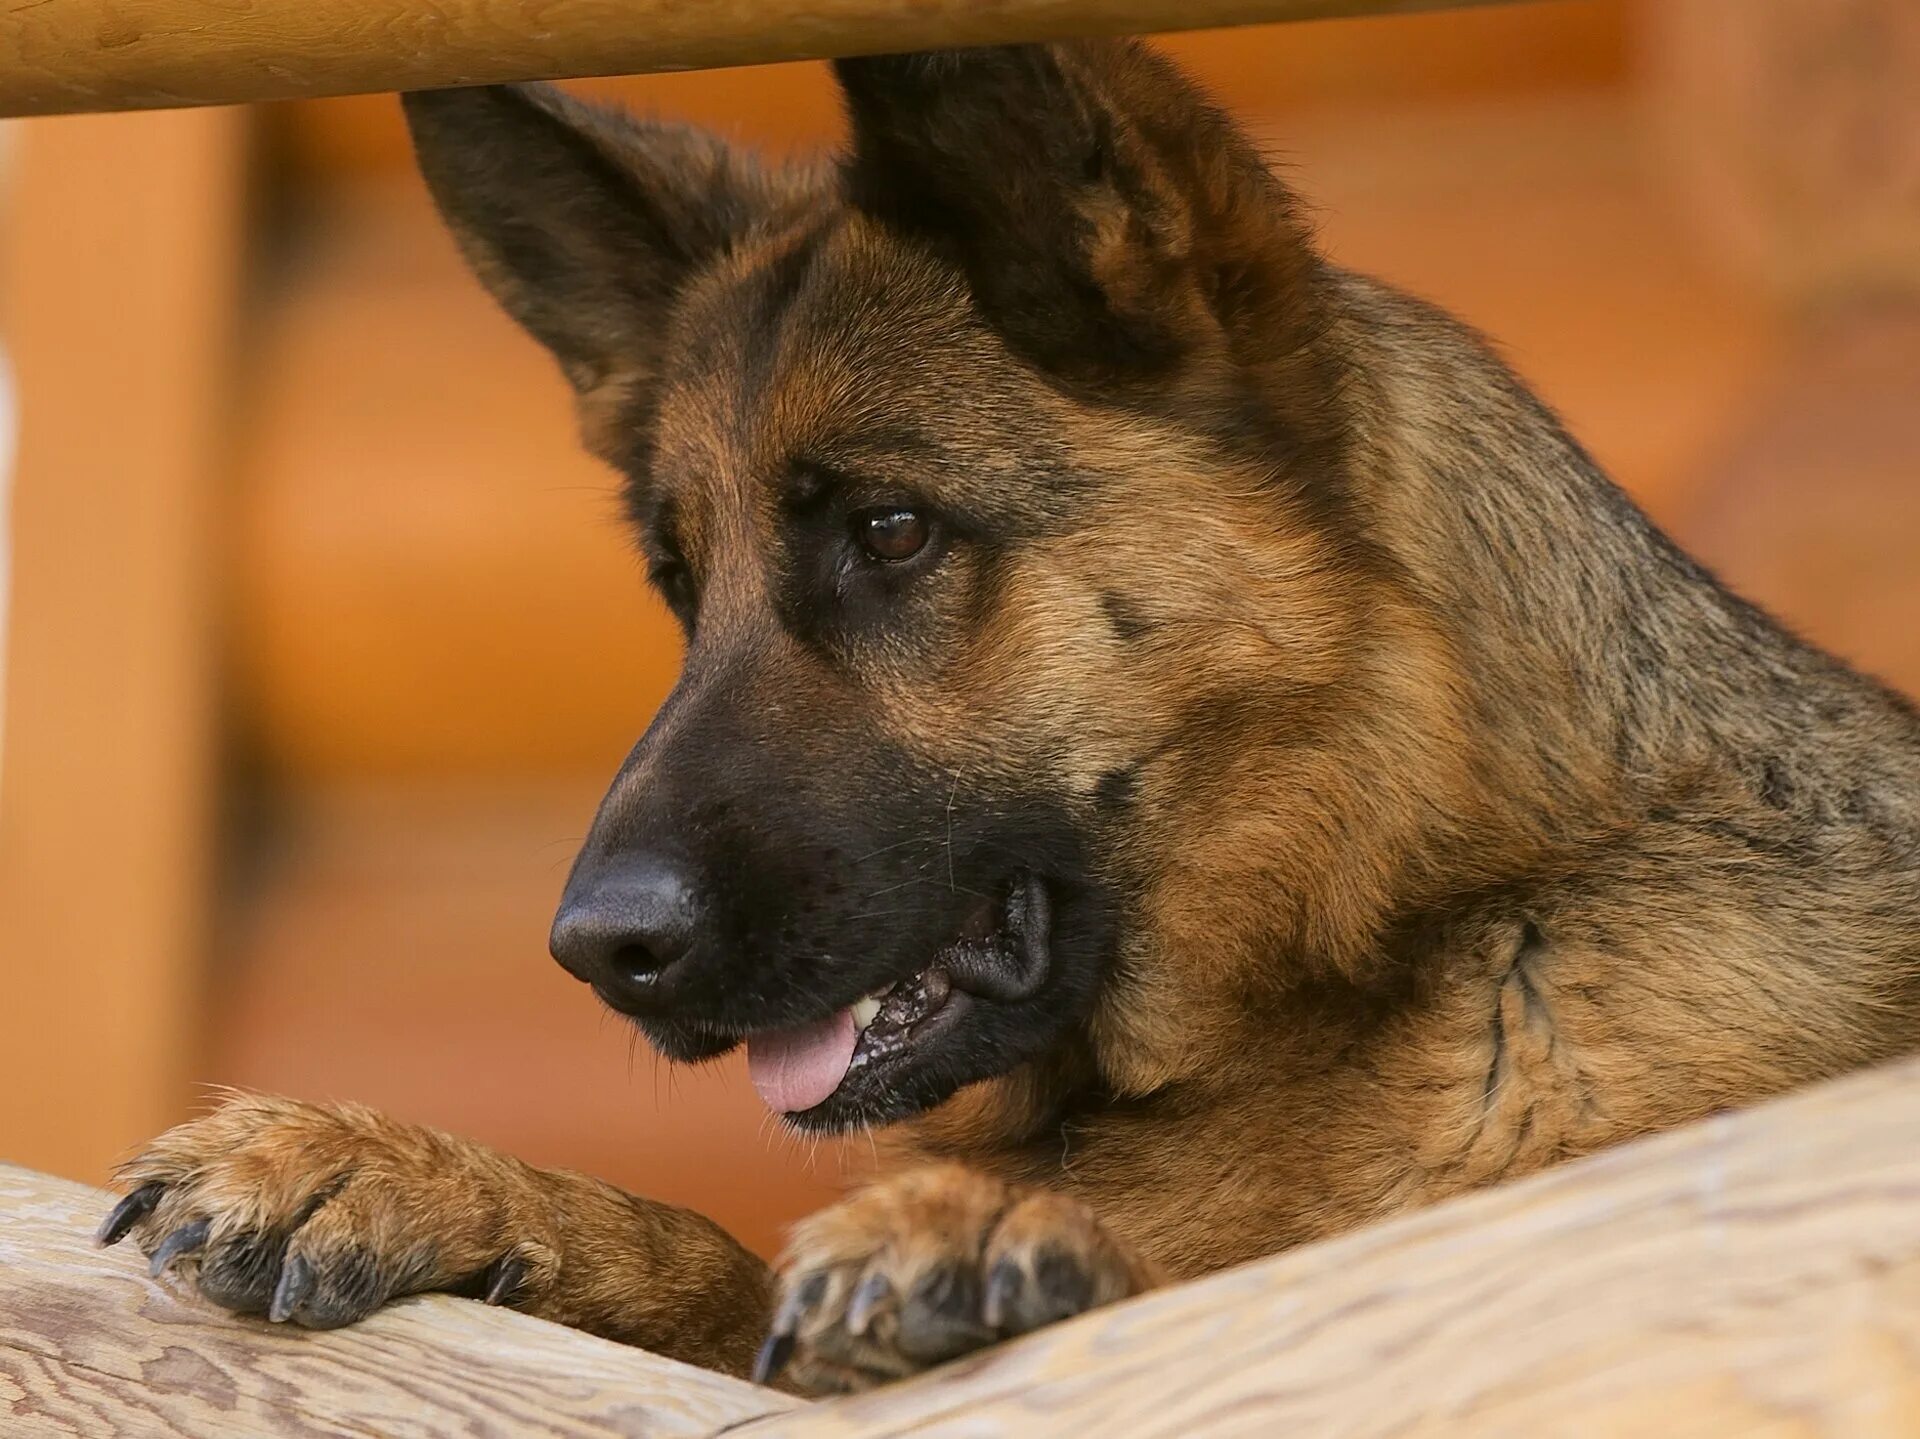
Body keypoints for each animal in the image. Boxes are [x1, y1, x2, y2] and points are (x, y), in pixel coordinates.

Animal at [97, 42, 1920, 1390]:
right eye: (683, 584)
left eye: (892, 529)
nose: (596, 949)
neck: (1385, 930)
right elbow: (717, 1258)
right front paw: (424, 1170)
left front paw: (977, 1236)